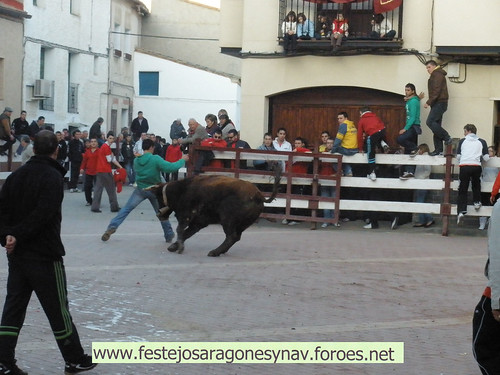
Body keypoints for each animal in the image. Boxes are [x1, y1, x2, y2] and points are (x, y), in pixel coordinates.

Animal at [147, 171, 282, 258]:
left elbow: (180, 230)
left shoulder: (186, 216)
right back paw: (219, 251)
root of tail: (258, 195)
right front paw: (173, 247)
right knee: (235, 237)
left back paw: (214, 252)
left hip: (227, 220)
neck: (182, 189)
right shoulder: (199, 222)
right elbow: (187, 233)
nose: (159, 215)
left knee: (231, 236)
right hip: (241, 224)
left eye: (158, 197)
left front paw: (179, 248)